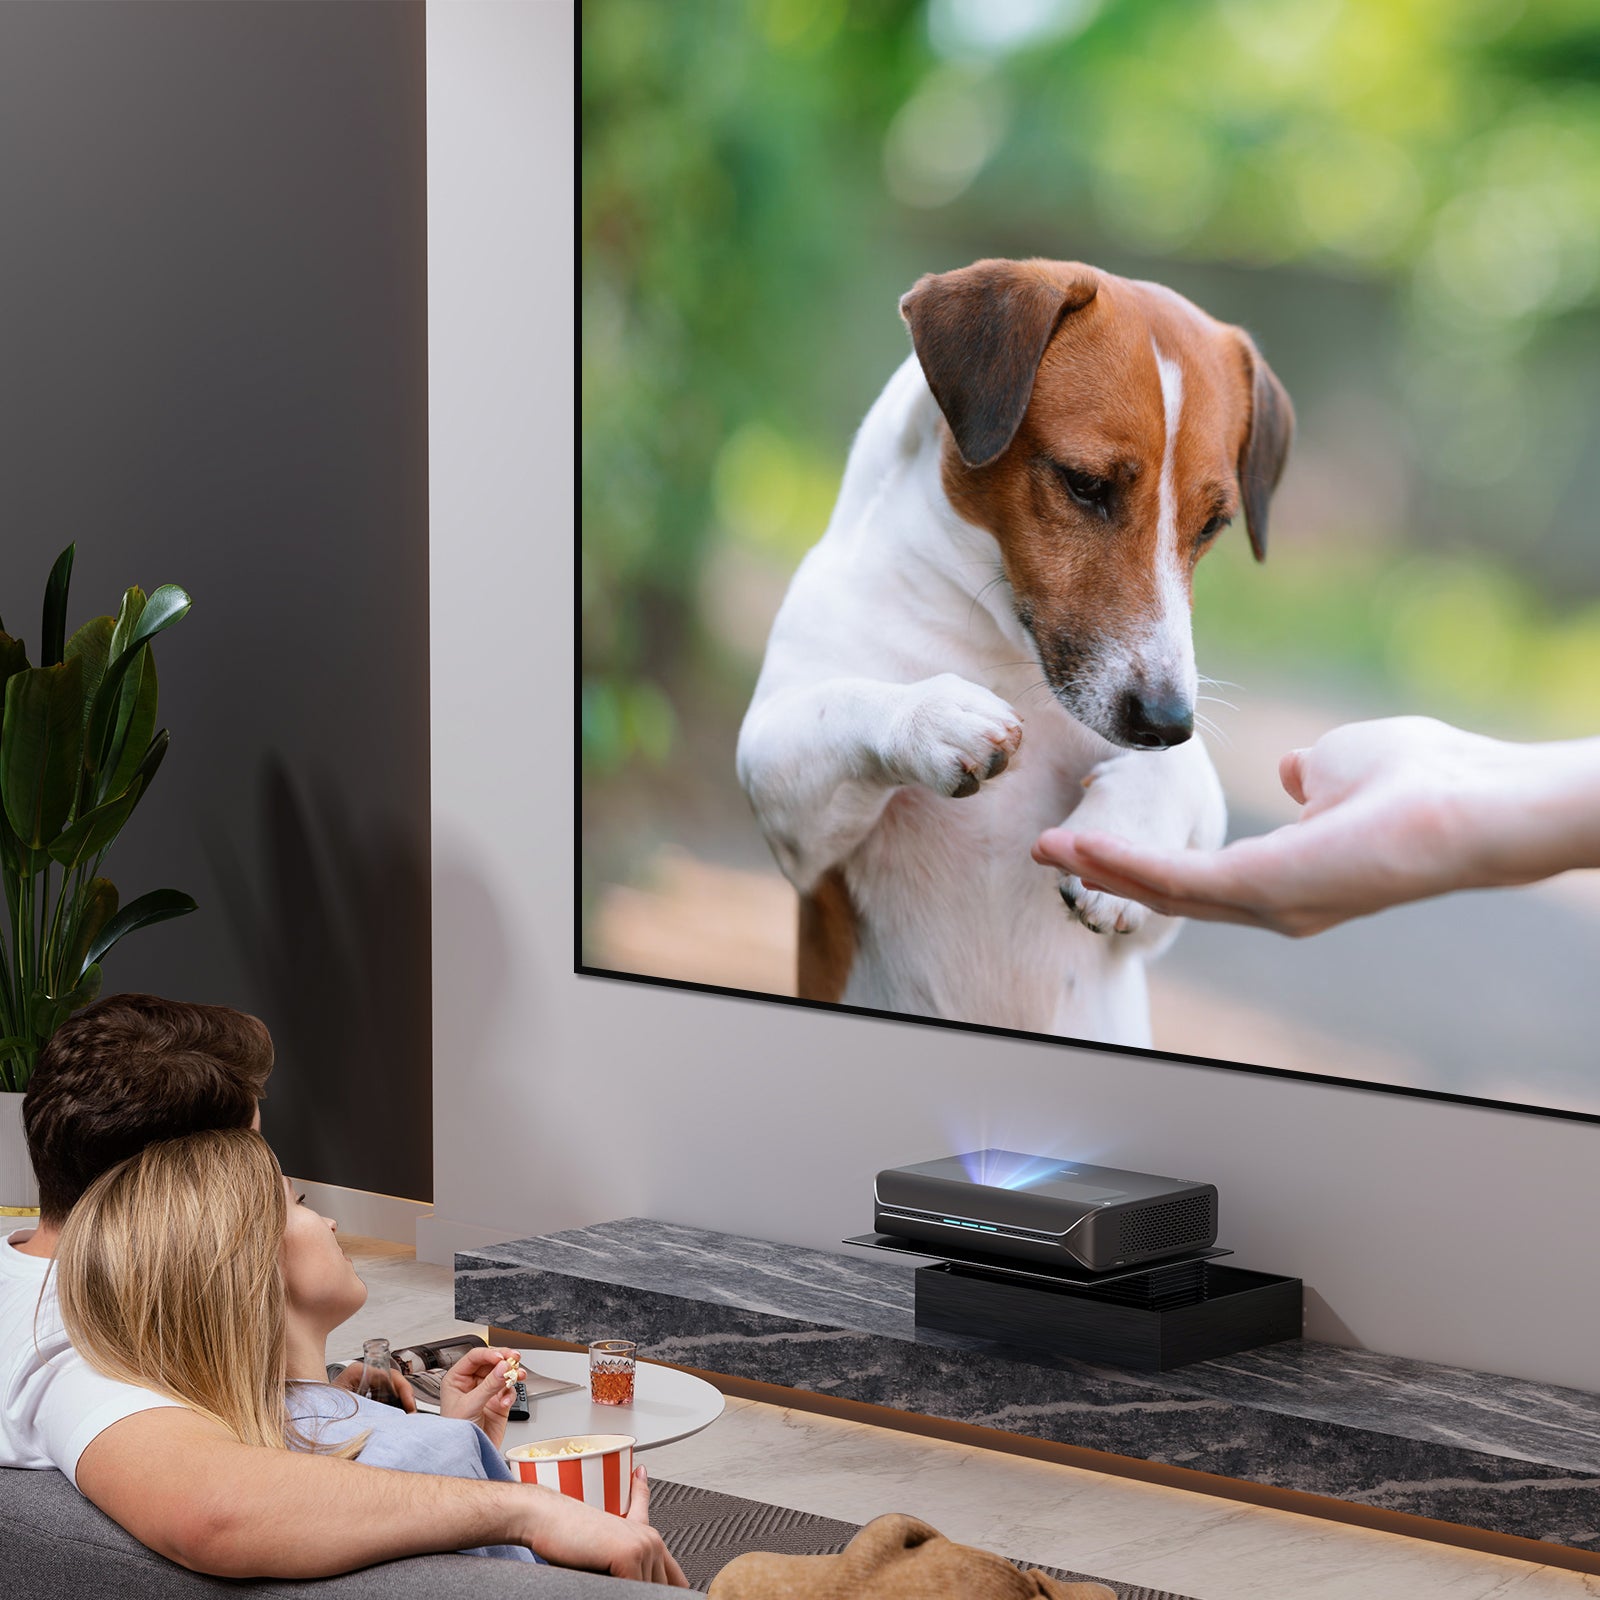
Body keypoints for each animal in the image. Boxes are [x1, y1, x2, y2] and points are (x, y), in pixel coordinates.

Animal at [732, 256, 1286, 1043]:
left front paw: (1122, 835)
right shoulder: (793, 821)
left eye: (1213, 523)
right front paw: (930, 716)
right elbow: (839, 703)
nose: (1165, 721)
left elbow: (1186, 778)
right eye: (1085, 485)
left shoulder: (1164, 910)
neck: (997, 639)